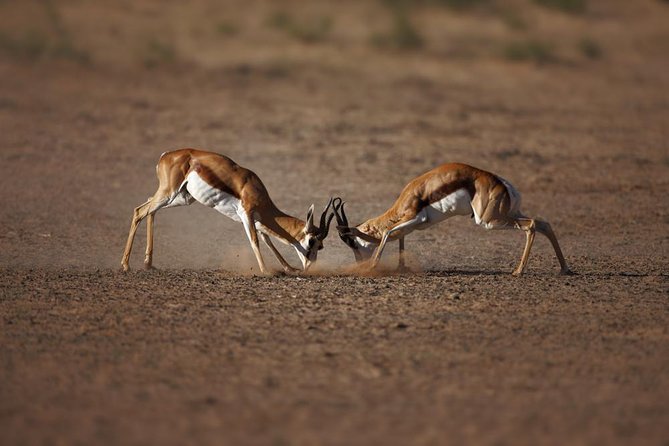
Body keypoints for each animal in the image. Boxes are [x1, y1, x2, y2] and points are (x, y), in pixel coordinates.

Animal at [120, 150, 334, 274]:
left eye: (321, 246)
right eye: (313, 242)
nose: (311, 267)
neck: (253, 188)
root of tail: (165, 155)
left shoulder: (258, 221)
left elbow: (269, 242)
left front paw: (289, 268)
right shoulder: (247, 214)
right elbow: (255, 241)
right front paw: (265, 271)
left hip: (181, 198)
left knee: (149, 208)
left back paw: (148, 263)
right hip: (169, 194)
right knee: (139, 211)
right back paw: (125, 265)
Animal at [332, 163, 572, 276]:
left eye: (352, 242)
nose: (359, 263)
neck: (411, 196)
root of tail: (503, 184)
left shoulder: (413, 217)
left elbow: (388, 233)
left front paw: (372, 267)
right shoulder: (415, 224)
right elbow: (400, 236)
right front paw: (401, 267)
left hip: (489, 221)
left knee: (531, 225)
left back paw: (518, 271)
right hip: (510, 214)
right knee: (544, 223)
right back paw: (565, 269)